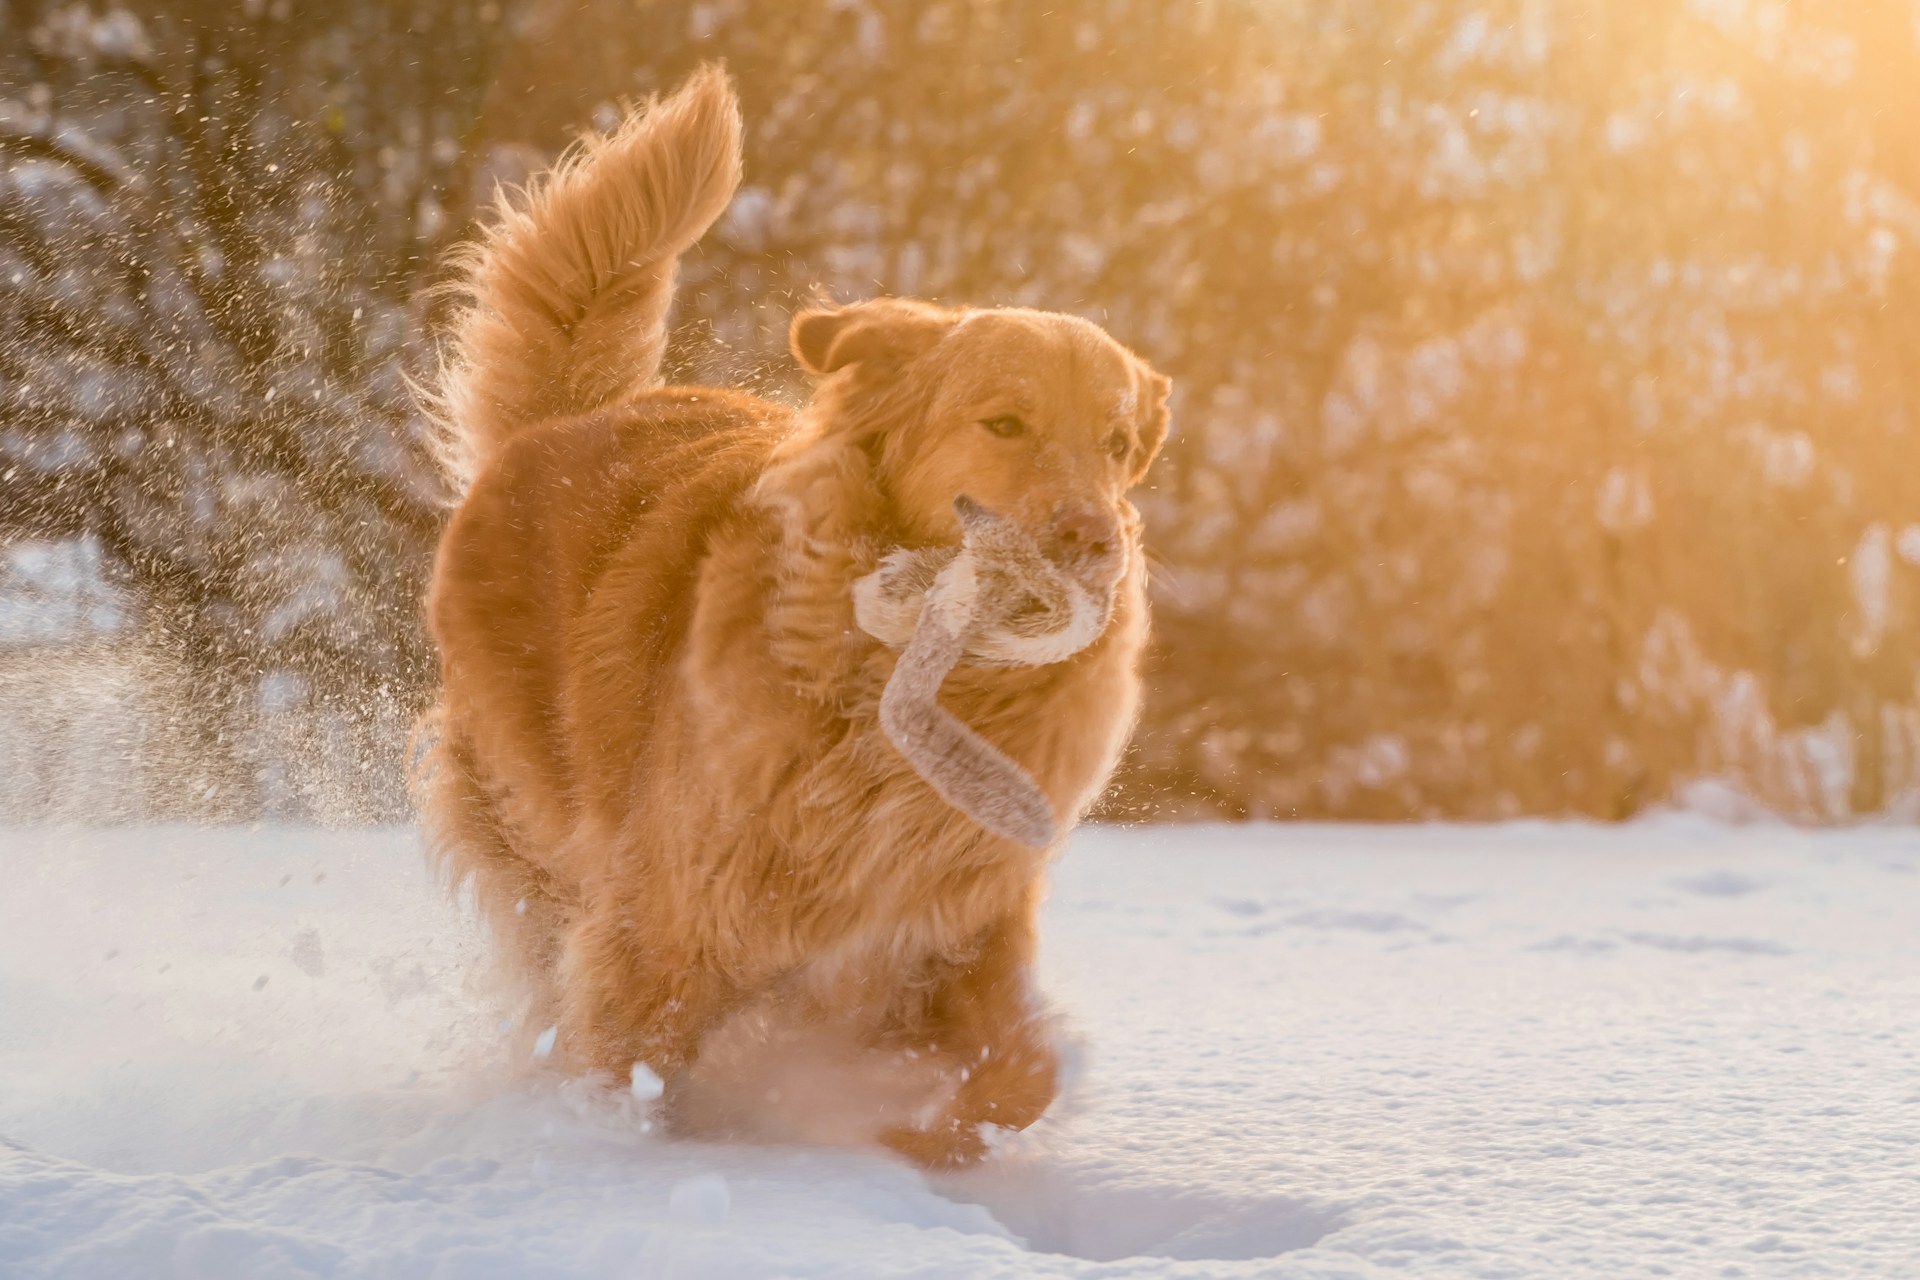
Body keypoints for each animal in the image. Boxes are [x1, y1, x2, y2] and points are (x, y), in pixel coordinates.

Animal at [420, 67, 1167, 1174]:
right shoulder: (669, 912)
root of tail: (563, 422)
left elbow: (1022, 1072)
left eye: (1116, 442)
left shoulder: (956, 915)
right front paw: (613, 1166)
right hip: (533, 821)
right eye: (1004, 423)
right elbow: (623, 1063)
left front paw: (918, 1140)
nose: (1092, 537)